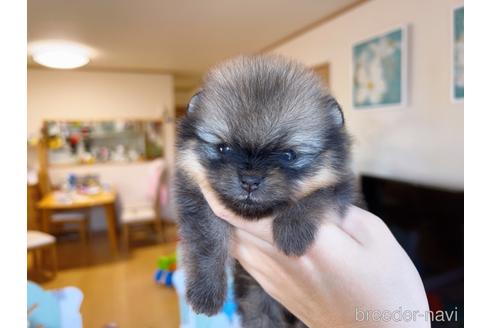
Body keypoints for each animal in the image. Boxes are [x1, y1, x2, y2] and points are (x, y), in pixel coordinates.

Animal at [175, 55, 356, 326]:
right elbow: (208, 241)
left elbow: (319, 194)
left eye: (288, 155)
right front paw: (206, 291)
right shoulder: (197, 197)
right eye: (224, 148)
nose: (250, 180)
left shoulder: (340, 188)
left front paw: (292, 229)